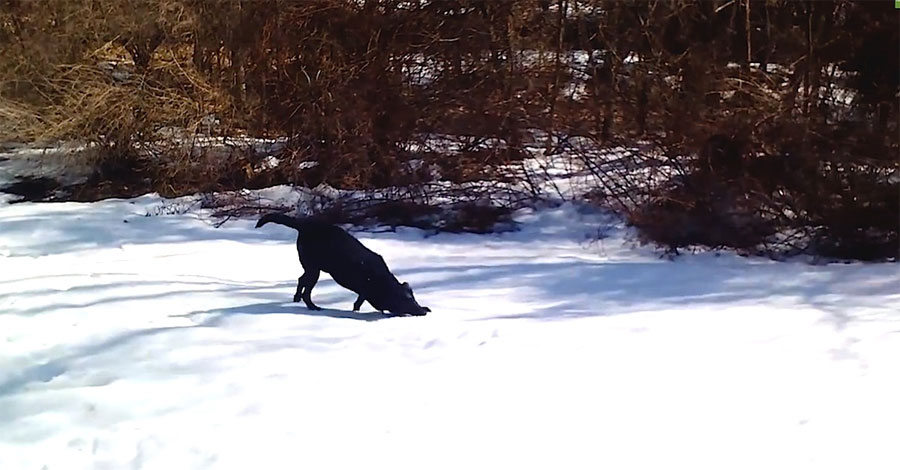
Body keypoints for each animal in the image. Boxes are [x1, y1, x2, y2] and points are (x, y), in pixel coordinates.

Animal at [253, 213, 428, 316]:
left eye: (414, 299)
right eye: (407, 302)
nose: (424, 311)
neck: (382, 282)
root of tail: (304, 226)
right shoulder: (365, 291)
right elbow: (359, 302)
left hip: (312, 267)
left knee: (301, 280)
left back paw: (297, 299)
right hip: (314, 269)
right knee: (306, 291)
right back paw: (313, 307)